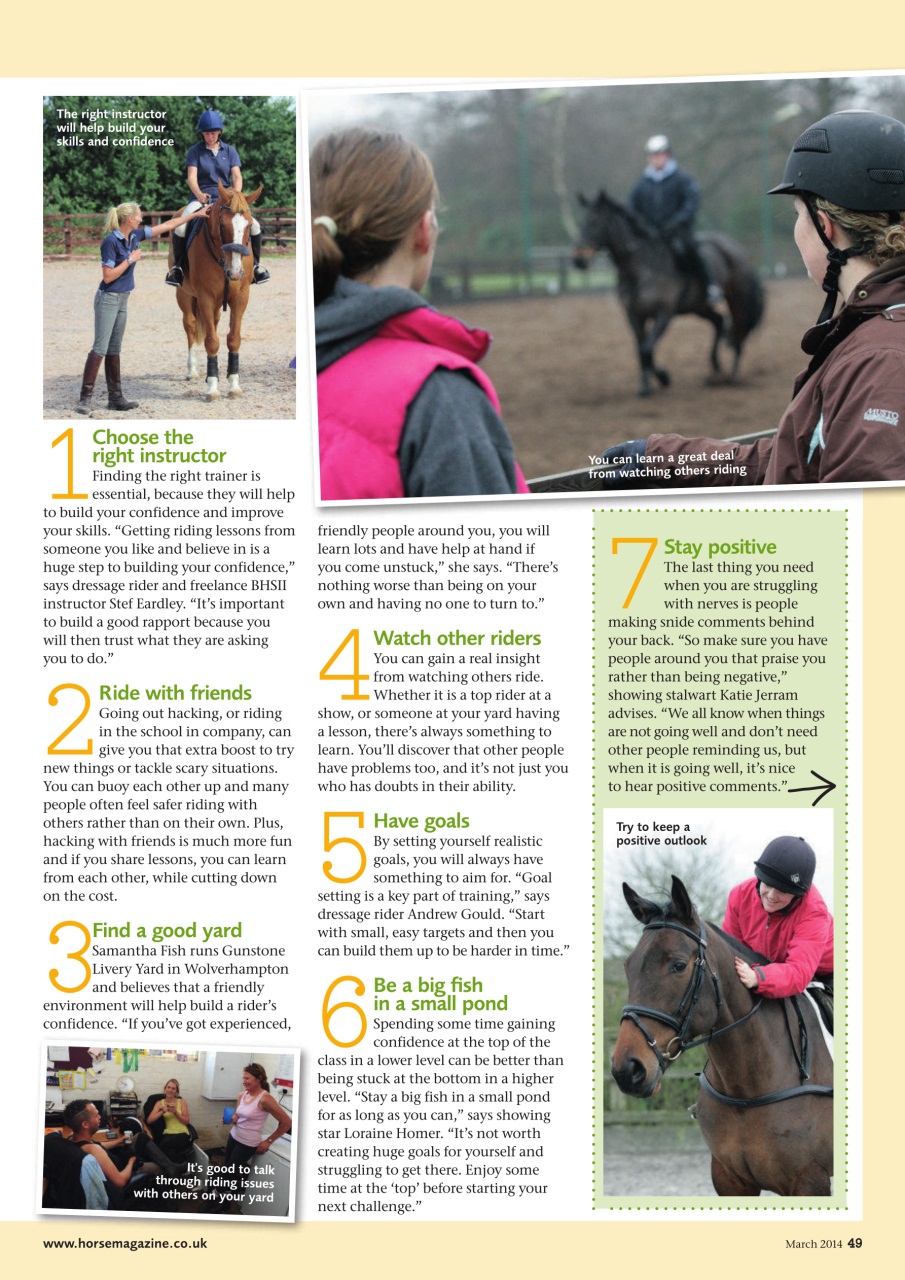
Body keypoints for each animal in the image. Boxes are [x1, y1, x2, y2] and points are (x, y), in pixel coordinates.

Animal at [171, 180, 263, 399]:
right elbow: (211, 341)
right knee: (190, 325)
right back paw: (193, 371)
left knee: (211, 323)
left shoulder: (241, 297)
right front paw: (212, 388)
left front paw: (233, 385)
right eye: (223, 225)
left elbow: (233, 339)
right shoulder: (205, 297)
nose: (236, 272)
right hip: (184, 295)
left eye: (249, 225)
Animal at [573, 191, 764, 397]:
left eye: (594, 222)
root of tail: (734, 246)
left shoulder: (664, 313)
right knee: (720, 321)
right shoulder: (634, 315)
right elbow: (641, 349)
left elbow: (647, 349)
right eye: (581, 221)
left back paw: (732, 375)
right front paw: (646, 387)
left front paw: (664, 377)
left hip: (737, 300)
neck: (643, 269)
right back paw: (716, 367)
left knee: (739, 329)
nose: (578, 260)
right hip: (698, 307)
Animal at [612, 876, 833, 1196]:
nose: (627, 1070)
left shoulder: (810, 1182)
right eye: (628, 966)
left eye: (679, 965)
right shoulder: (729, 1180)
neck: (747, 1090)